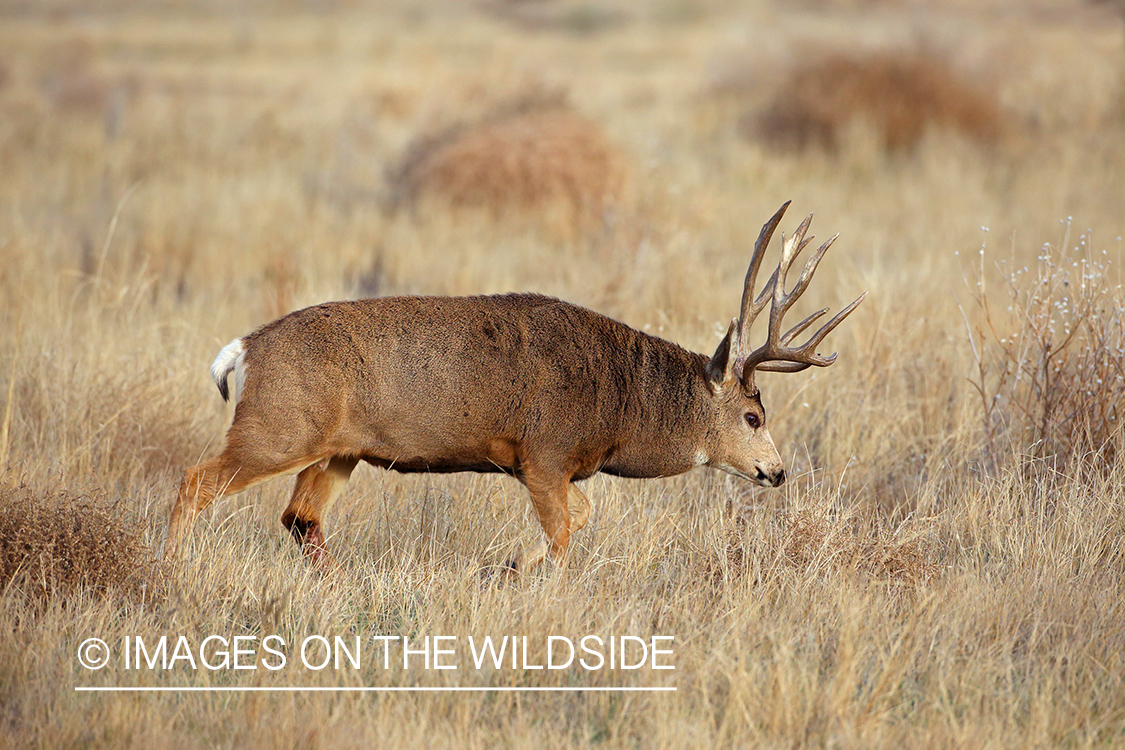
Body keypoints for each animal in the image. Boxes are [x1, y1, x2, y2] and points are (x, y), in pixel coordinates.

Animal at [163, 199, 864, 575]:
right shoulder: (543, 455)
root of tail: (247, 347)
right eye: (753, 416)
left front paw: (507, 568)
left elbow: (579, 519)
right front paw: (517, 573)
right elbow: (570, 528)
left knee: (300, 518)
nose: (778, 472)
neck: (618, 401)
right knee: (196, 482)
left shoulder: (555, 465)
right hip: (279, 427)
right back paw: (171, 571)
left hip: (339, 450)